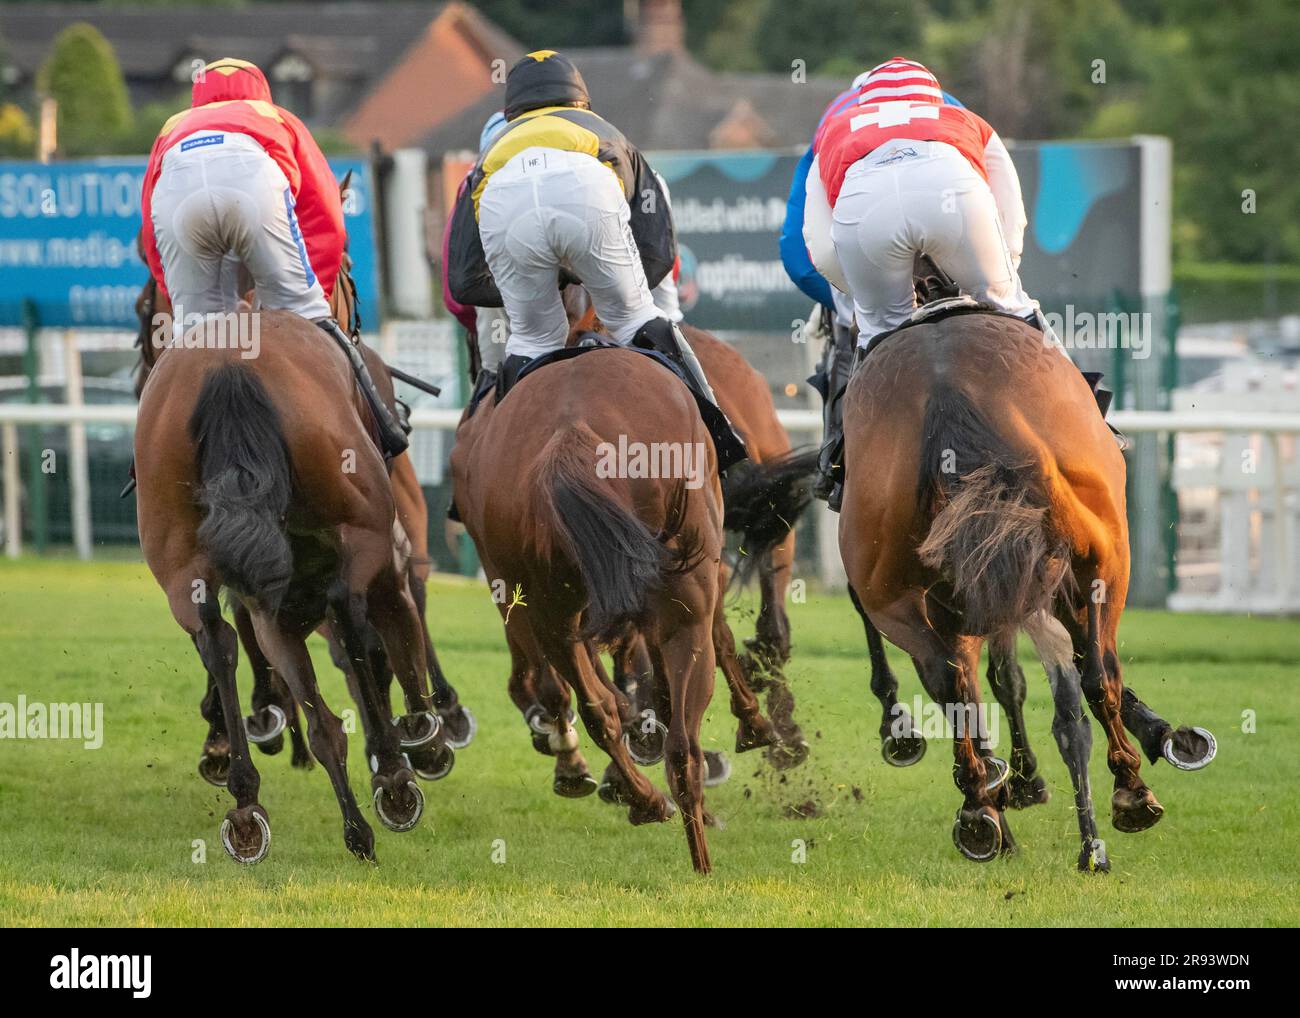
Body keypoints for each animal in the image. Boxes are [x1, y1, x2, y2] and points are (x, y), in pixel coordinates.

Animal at [840, 307, 1173, 872]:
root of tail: (944, 386)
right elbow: (1061, 674)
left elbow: (991, 682)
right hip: (1104, 554)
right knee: (1095, 670)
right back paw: (1123, 791)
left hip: (891, 583)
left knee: (948, 678)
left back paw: (980, 808)